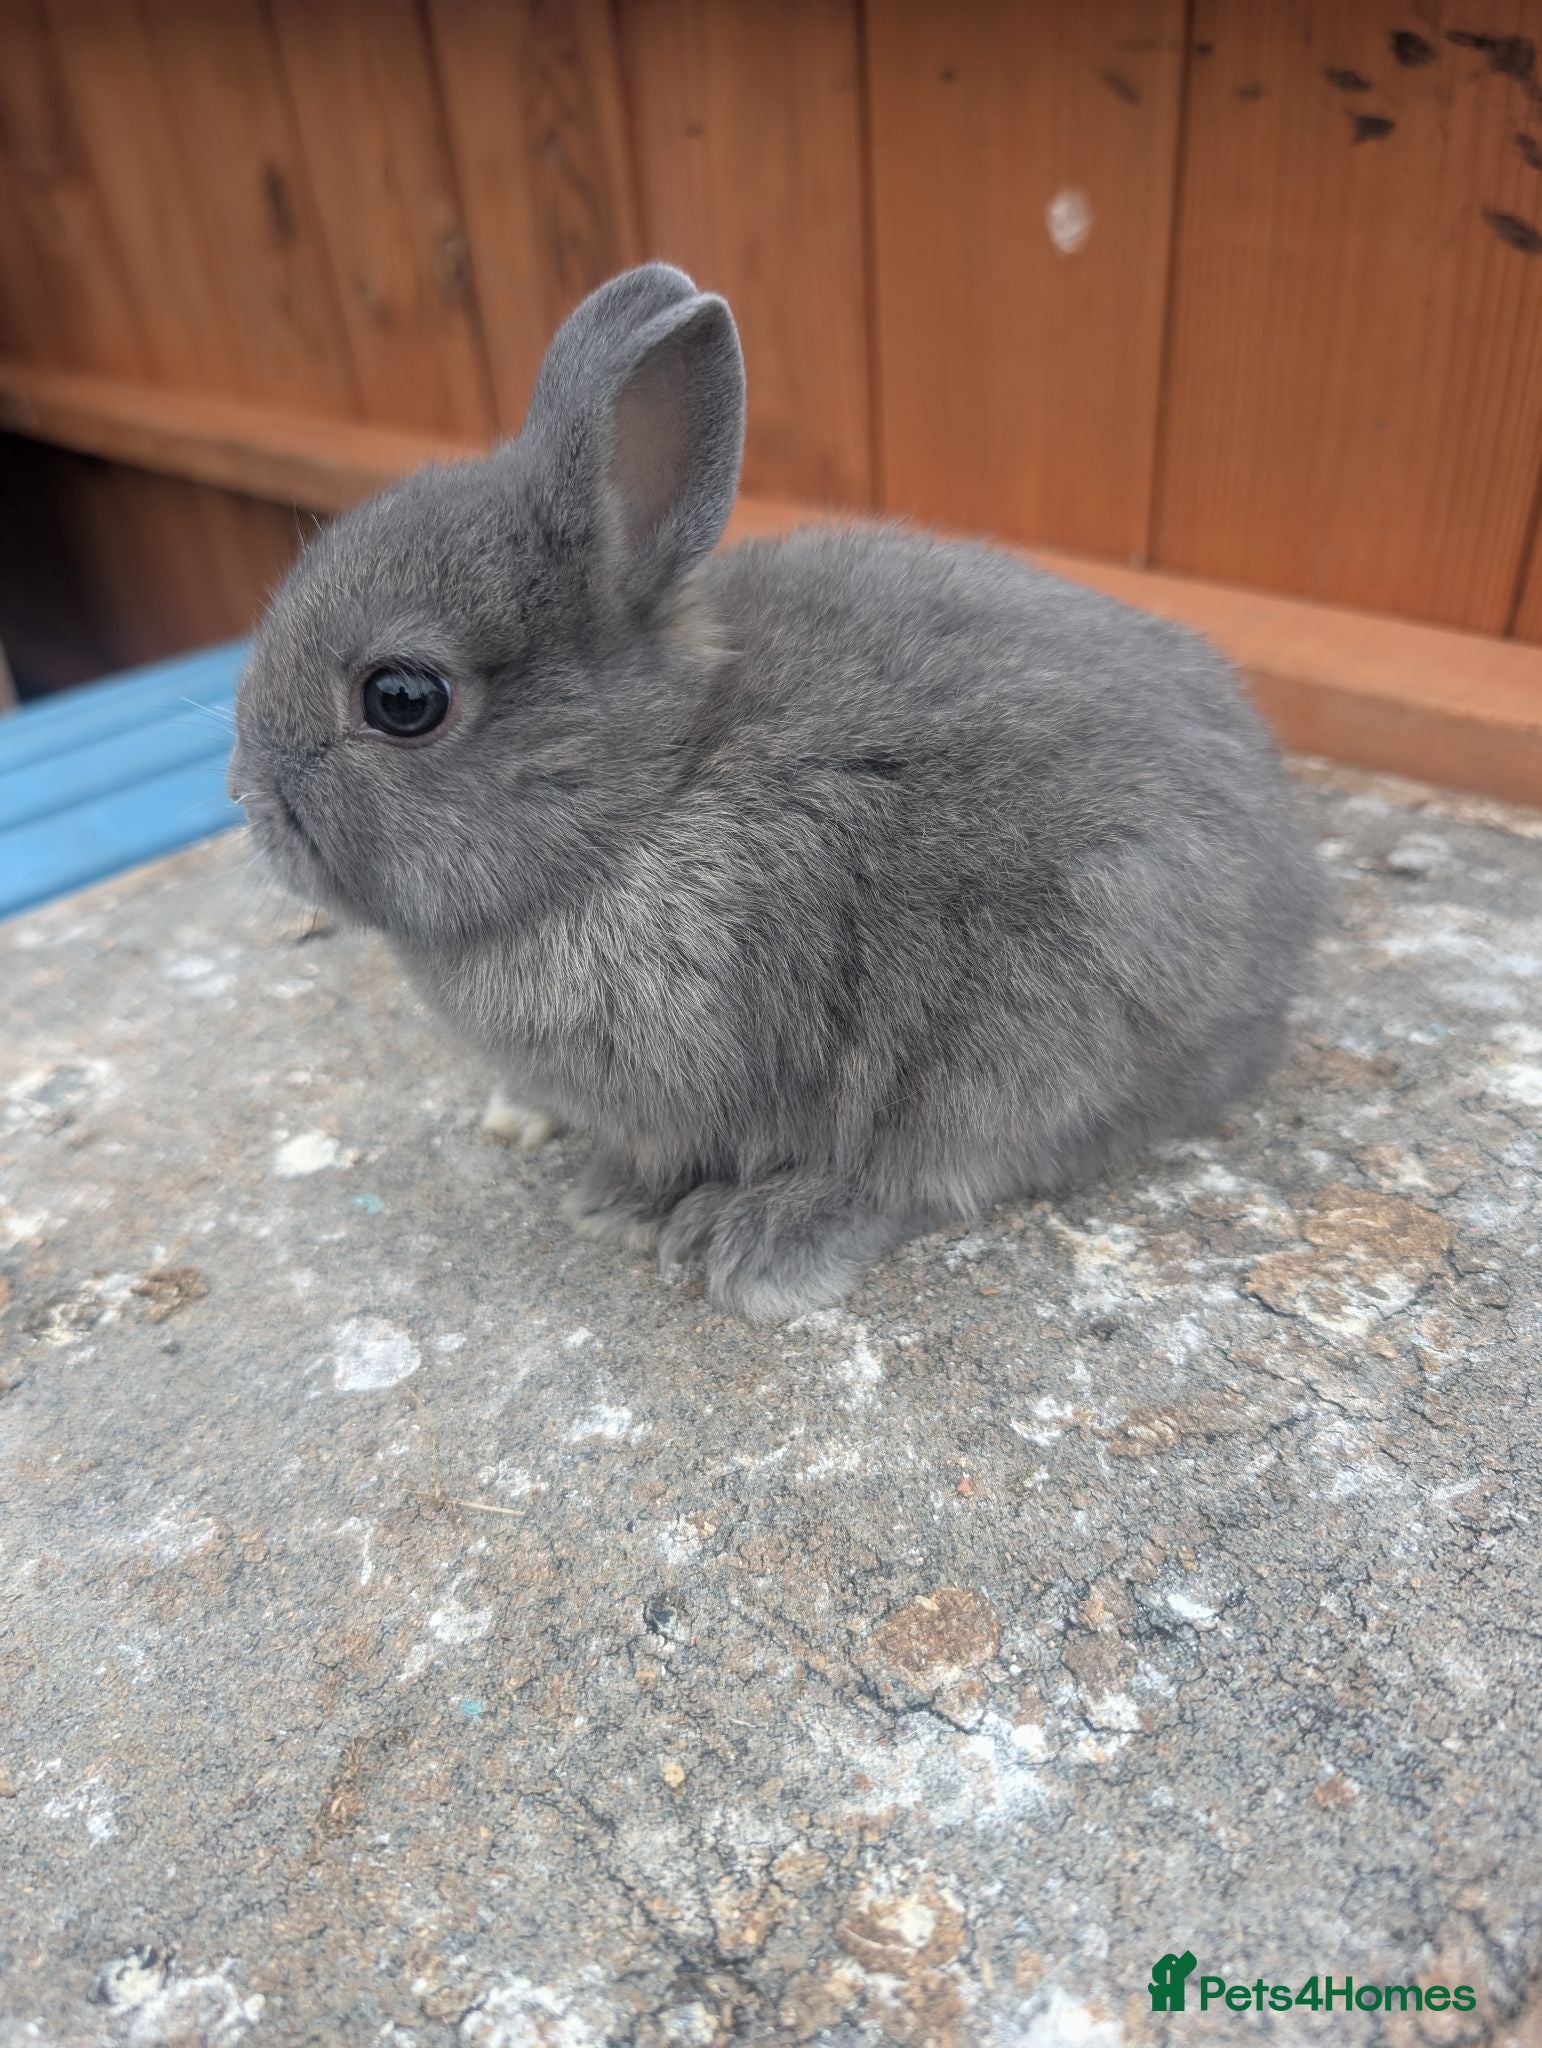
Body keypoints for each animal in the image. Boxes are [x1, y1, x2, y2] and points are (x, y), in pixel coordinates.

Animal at [231, 261, 1323, 1323]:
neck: (653, 791)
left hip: (1035, 1027)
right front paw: (614, 1197)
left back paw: (764, 1239)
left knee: (931, 1169)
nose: (248, 799)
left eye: (402, 699)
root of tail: (1273, 978)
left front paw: (634, 1203)